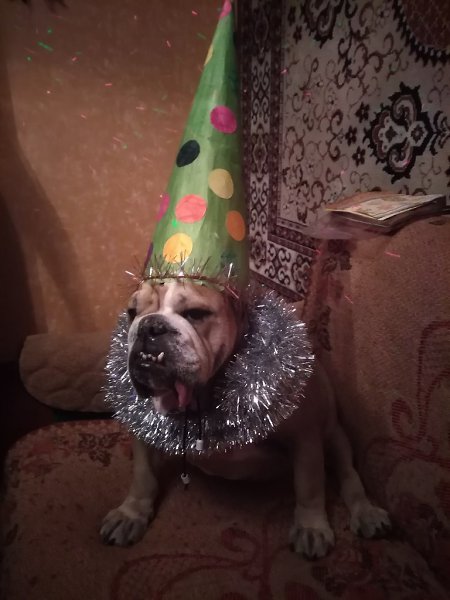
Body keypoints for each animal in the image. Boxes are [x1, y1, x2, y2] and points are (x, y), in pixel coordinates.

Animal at [100, 280, 391, 559]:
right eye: (132, 312)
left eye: (195, 313)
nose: (149, 326)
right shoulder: (143, 430)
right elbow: (143, 474)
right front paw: (130, 513)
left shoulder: (305, 437)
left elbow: (309, 484)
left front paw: (311, 527)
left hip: (335, 438)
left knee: (349, 475)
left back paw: (367, 512)